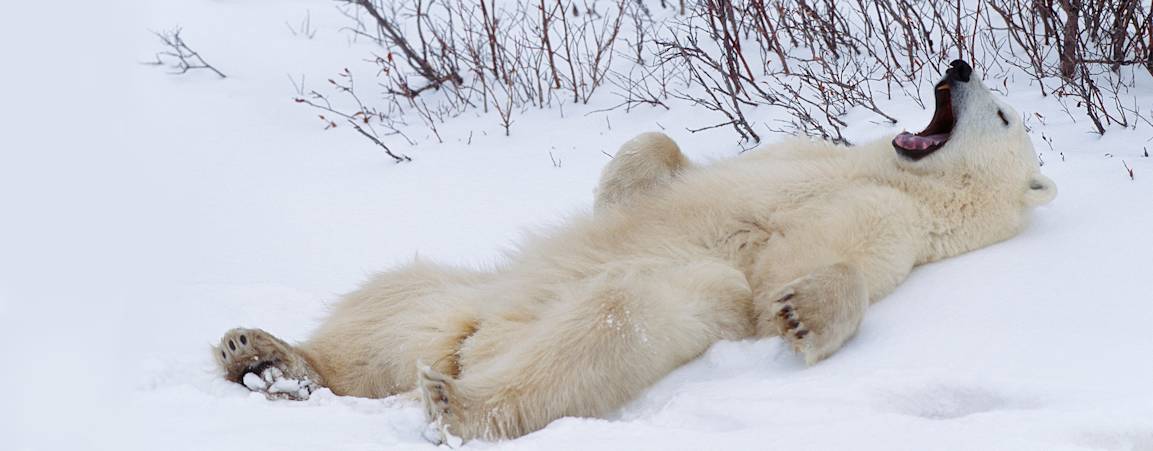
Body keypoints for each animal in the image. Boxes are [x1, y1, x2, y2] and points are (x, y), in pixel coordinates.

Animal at [213, 60, 1056, 443]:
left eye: (1003, 114)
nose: (958, 65)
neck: (894, 172)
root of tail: (474, 343)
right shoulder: (798, 152)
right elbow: (657, 165)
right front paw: (625, 176)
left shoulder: (891, 219)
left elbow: (798, 273)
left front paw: (804, 311)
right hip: (459, 296)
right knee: (389, 304)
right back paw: (265, 357)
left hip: (636, 305)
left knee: (606, 323)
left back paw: (457, 401)